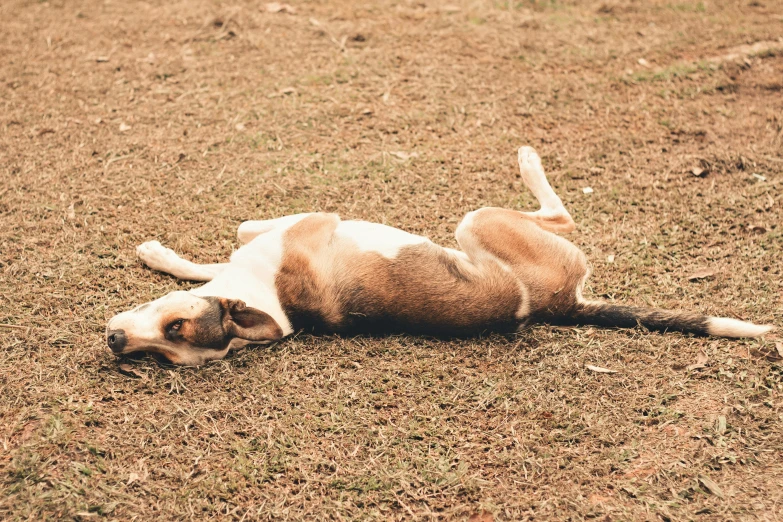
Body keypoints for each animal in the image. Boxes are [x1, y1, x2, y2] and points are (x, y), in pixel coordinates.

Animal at [107, 145, 776, 366]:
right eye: (158, 358)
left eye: (175, 328)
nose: (116, 345)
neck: (269, 300)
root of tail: (562, 305)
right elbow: (221, 252)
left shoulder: (308, 221)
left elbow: (235, 236)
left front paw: (163, 254)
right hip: (481, 226)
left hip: (476, 222)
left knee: (562, 214)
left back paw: (528, 159)